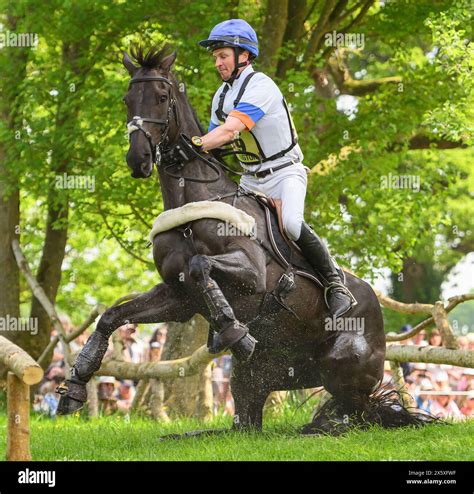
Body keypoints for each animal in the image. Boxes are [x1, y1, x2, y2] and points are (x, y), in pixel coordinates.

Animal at [57, 45, 432, 432]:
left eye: (161, 97)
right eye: (127, 99)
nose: (138, 159)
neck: (191, 205)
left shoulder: (251, 274)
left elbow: (200, 264)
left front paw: (231, 328)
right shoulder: (178, 297)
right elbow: (111, 316)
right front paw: (75, 384)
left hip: (343, 362)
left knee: (357, 412)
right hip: (252, 377)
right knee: (249, 420)